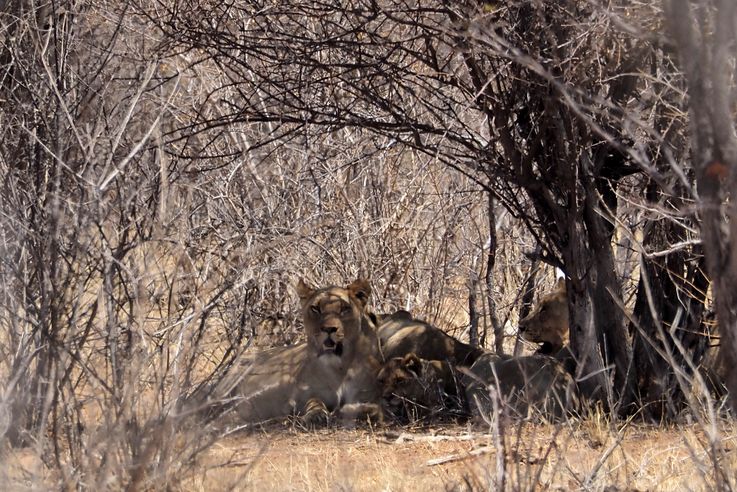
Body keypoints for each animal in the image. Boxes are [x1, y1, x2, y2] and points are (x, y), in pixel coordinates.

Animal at [224, 278, 384, 425]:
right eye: (315, 309)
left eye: (344, 309)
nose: (328, 329)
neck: (340, 366)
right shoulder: (299, 395)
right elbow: (313, 401)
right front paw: (316, 414)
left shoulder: (368, 394)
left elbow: (373, 408)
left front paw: (357, 410)